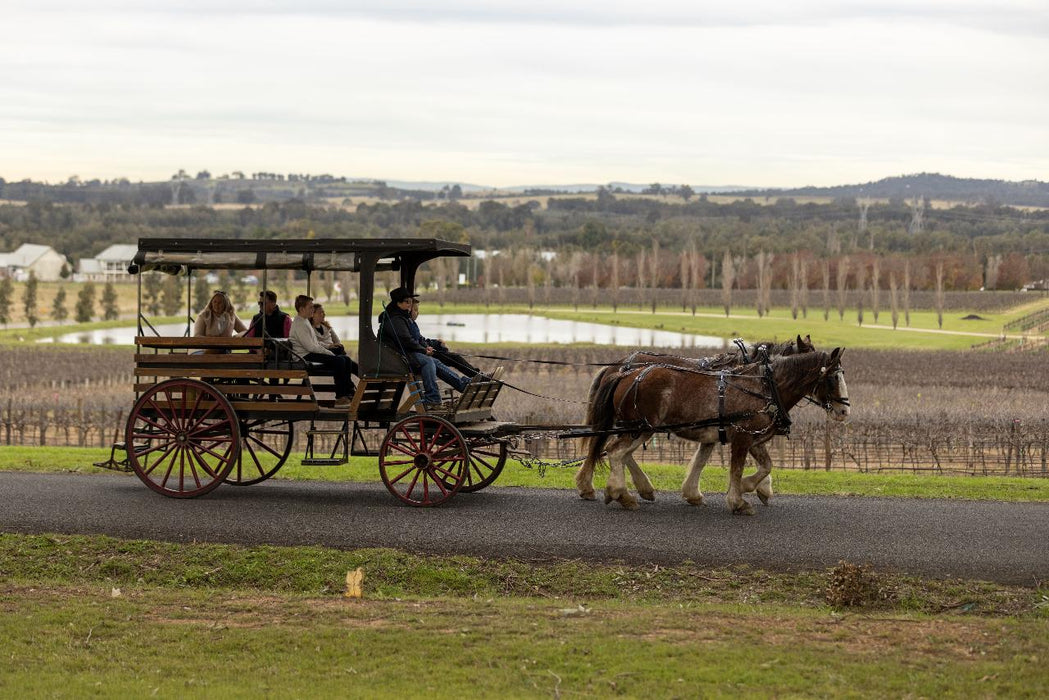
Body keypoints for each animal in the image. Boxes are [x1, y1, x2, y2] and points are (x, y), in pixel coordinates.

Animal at [587, 350, 847, 514]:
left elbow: (766, 465)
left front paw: (748, 487)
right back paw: (620, 494)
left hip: (636, 429)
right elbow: (736, 469)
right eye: (833, 378)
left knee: (617, 453)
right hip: (641, 428)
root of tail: (625, 373)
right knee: (615, 452)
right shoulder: (741, 438)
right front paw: (738, 501)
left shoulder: (753, 438)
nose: (845, 410)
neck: (765, 387)